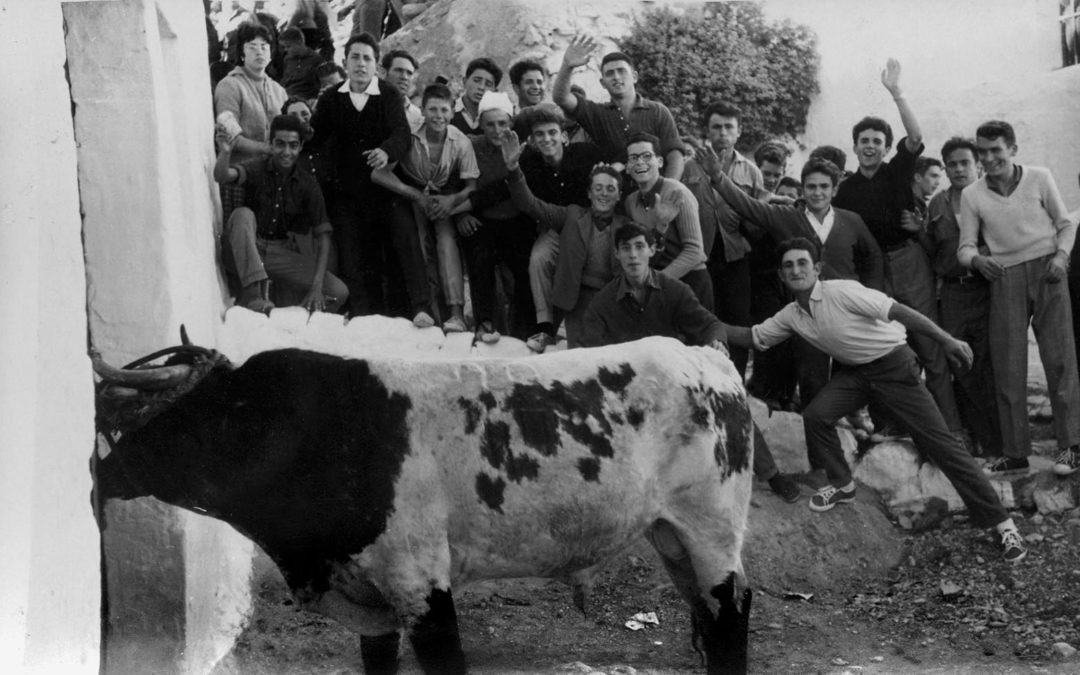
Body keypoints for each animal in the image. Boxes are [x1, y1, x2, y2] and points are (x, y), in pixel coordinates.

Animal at [90, 336, 751, 673]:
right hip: (671, 536)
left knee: (731, 613)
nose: (99, 471)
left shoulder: (419, 582)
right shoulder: (368, 599)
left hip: (712, 531)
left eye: (169, 422)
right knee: (705, 613)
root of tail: (707, 354)